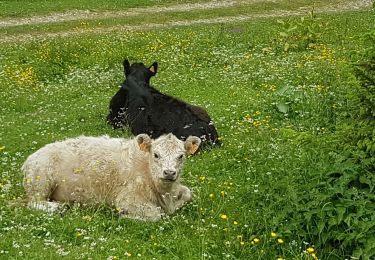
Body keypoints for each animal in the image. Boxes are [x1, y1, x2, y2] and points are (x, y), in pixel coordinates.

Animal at [22, 133, 201, 220]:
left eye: (181, 156)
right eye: (156, 155)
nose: (169, 173)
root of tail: (32, 156)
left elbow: (188, 193)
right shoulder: (126, 199)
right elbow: (156, 214)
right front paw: (126, 216)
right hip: (40, 181)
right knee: (33, 202)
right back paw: (57, 207)